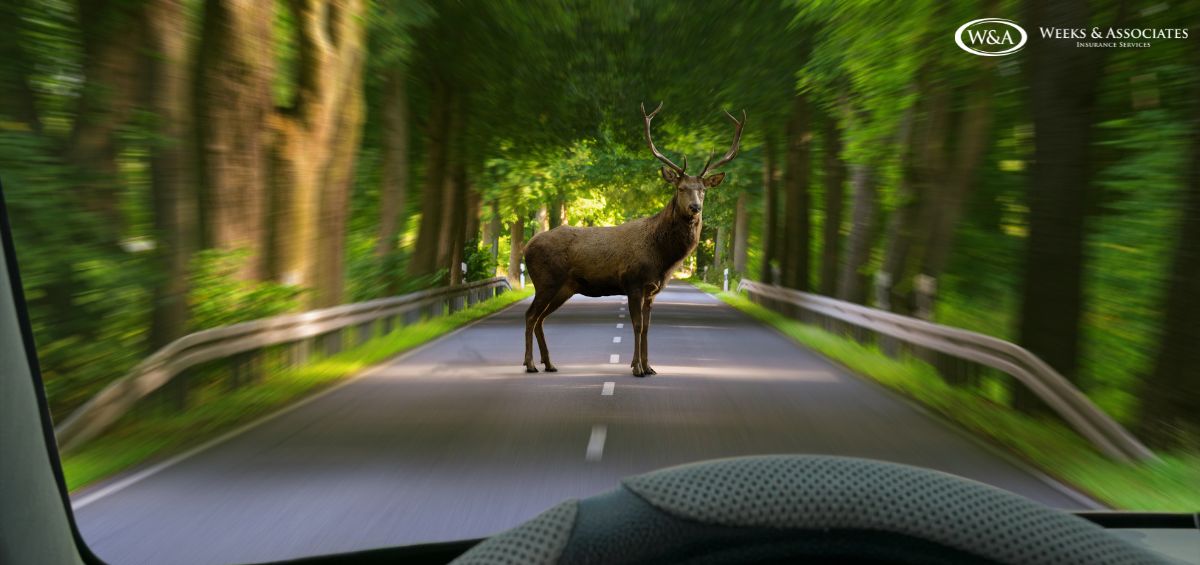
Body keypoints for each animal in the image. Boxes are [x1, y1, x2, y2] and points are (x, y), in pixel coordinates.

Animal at [522, 102, 745, 376]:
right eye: (681, 188)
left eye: (703, 190)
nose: (695, 207)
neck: (662, 258)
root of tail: (526, 248)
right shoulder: (633, 281)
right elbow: (637, 326)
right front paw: (637, 367)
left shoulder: (652, 290)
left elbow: (648, 327)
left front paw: (649, 367)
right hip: (546, 281)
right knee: (530, 315)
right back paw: (531, 364)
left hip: (564, 287)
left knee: (540, 318)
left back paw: (549, 363)